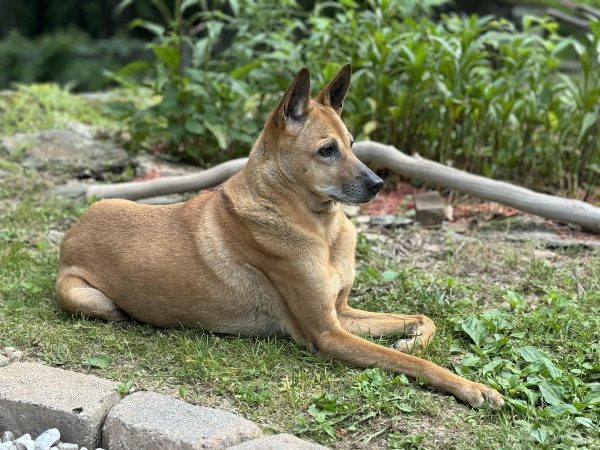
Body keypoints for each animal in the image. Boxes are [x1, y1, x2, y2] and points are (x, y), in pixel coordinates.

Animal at [58, 66, 504, 408]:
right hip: (85, 296)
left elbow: (421, 320)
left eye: (353, 144)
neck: (320, 228)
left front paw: (411, 342)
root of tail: (72, 233)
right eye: (326, 150)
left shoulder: (341, 313)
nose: (379, 185)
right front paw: (472, 387)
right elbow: (417, 365)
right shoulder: (327, 334)